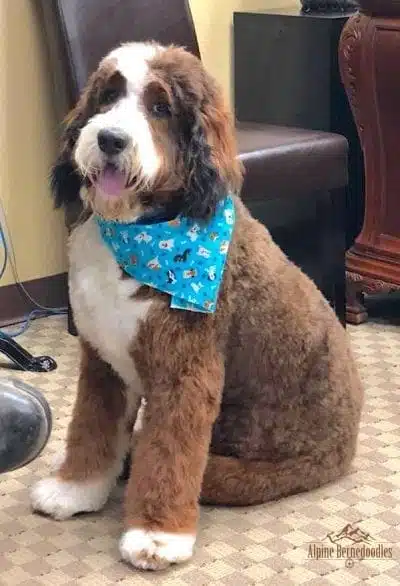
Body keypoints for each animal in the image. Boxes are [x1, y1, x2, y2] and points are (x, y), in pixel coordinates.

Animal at [30, 42, 362, 572]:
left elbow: (170, 453)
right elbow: (91, 425)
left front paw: (156, 536)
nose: (109, 139)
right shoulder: (103, 362)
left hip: (264, 463)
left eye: (161, 107)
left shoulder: (185, 370)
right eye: (109, 95)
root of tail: (346, 444)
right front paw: (75, 490)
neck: (142, 231)